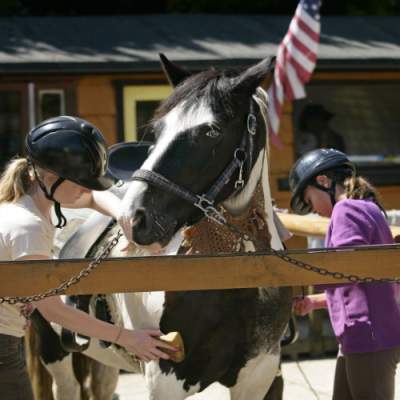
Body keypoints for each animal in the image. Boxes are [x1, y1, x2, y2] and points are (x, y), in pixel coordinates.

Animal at [28, 54, 292, 400]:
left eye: (212, 131)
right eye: (158, 129)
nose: (135, 218)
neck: (232, 278)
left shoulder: (260, 376)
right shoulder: (165, 378)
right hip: (54, 352)